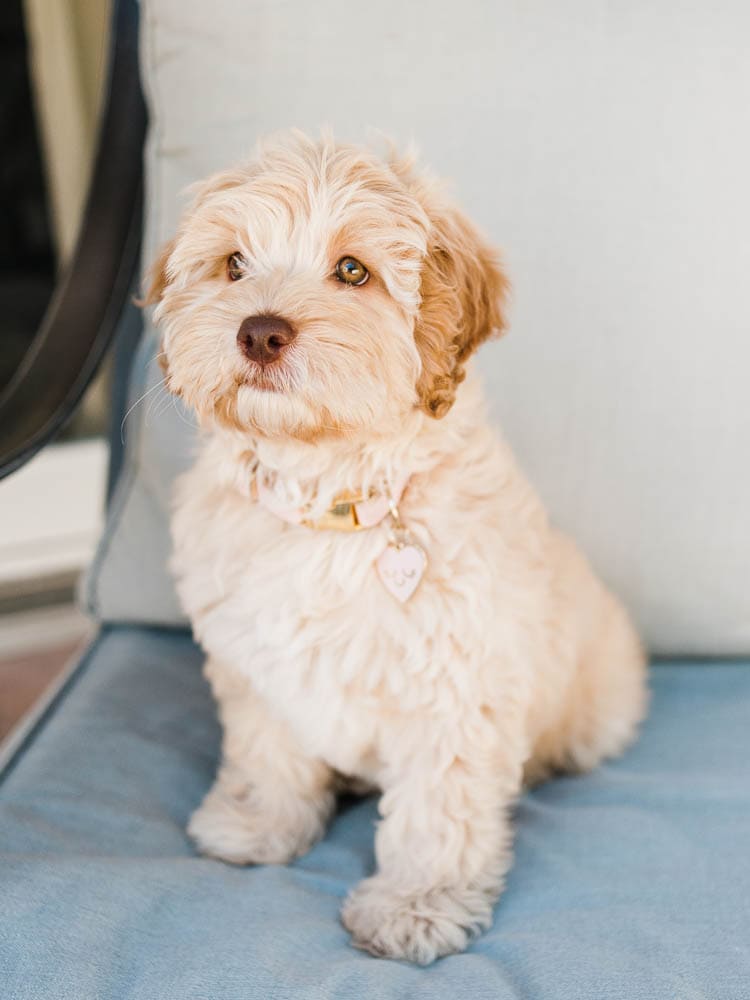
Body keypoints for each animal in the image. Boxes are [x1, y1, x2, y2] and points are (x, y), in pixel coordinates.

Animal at [147, 131, 648, 960]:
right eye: (234, 264)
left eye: (354, 271)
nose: (259, 331)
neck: (324, 496)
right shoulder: (254, 659)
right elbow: (266, 750)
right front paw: (258, 823)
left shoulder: (457, 686)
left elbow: (440, 809)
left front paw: (416, 903)